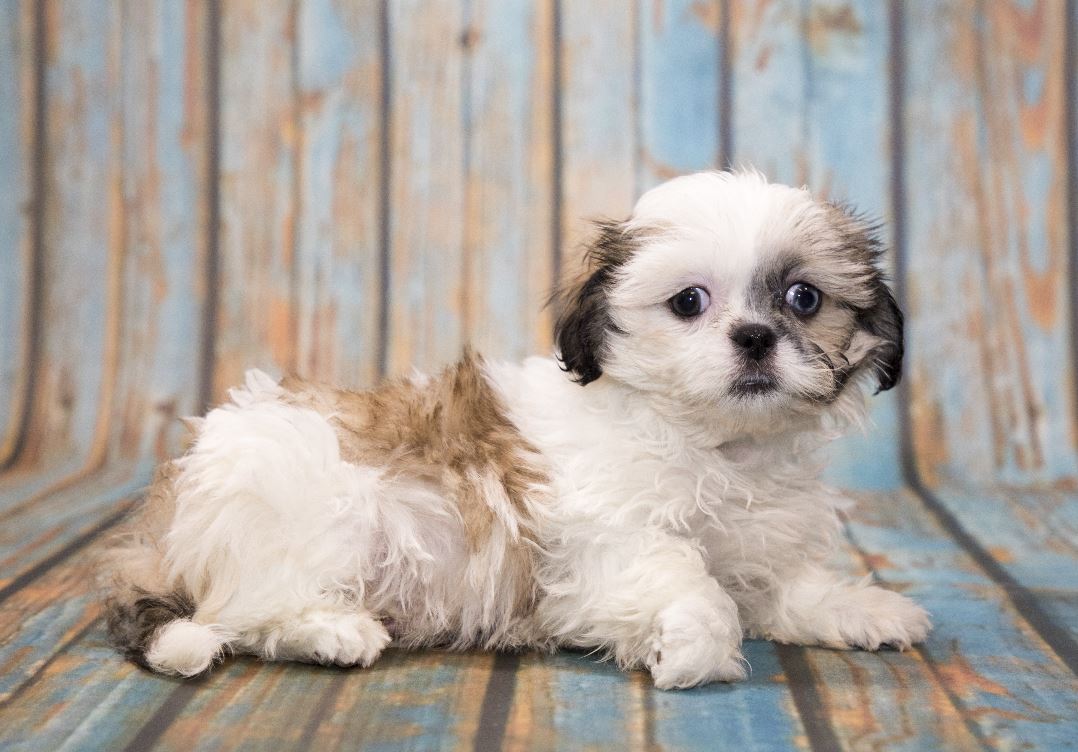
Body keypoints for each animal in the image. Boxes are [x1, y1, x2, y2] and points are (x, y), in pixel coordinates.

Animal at [97, 168, 931, 685]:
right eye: (689, 302)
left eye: (803, 299)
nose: (755, 337)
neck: (720, 447)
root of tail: (171, 505)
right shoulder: (600, 547)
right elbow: (690, 583)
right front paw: (694, 646)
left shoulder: (755, 544)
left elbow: (783, 587)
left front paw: (858, 608)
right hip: (311, 509)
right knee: (241, 609)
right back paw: (332, 631)